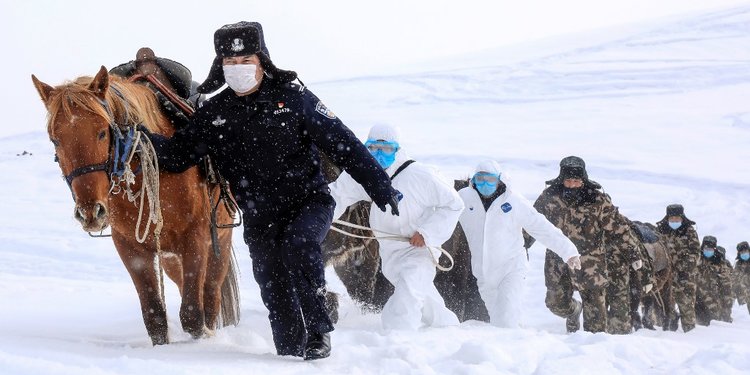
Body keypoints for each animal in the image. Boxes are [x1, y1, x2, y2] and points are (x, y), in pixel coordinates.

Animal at [30, 66, 238, 346]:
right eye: (55, 140)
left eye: (102, 132)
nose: (90, 212)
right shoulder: (130, 247)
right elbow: (155, 316)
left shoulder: (194, 238)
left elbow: (193, 315)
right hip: (170, 259)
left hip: (219, 244)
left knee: (210, 294)